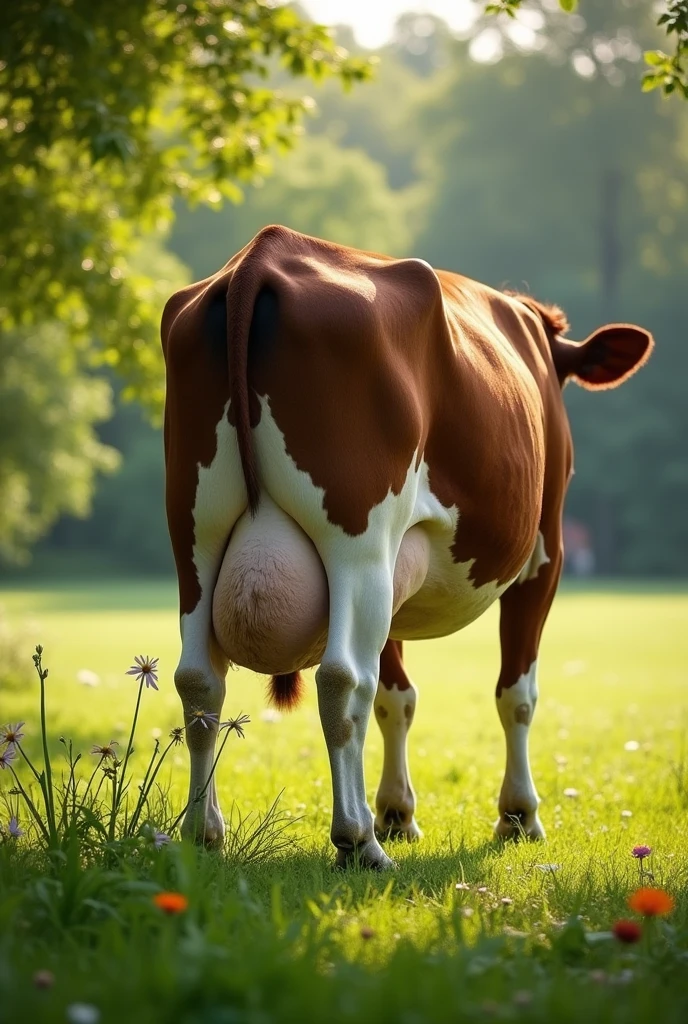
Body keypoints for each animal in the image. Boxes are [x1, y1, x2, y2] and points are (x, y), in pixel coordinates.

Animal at [159, 224, 651, 864]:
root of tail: (261, 255)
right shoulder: (547, 555)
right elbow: (516, 692)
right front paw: (519, 815)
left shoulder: (399, 567)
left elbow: (397, 696)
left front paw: (398, 812)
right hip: (359, 541)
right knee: (342, 679)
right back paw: (357, 839)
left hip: (194, 538)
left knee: (200, 682)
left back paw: (204, 832)